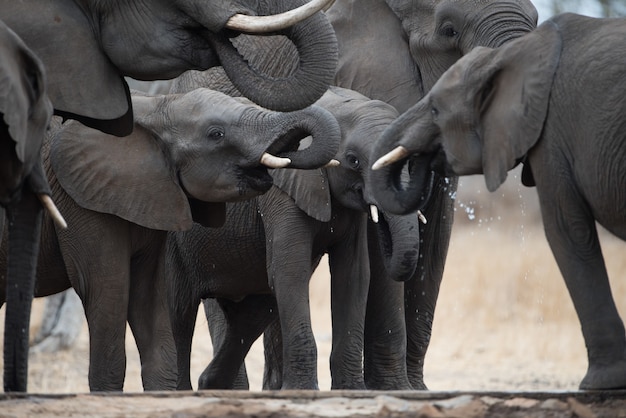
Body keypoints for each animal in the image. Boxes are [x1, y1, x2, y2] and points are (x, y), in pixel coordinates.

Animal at [163, 85, 422, 392]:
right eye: (353, 159)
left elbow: (353, 276)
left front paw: (352, 392)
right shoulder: (281, 192)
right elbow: (290, 271)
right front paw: (304, 391)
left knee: (252, 315)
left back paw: (210, 384)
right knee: (184, 311)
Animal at [368, 13, 624, 392]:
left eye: (435, 108)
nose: (425, 158)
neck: (509, 55)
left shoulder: (552, 135)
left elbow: (565, 230)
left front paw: (600, 384)